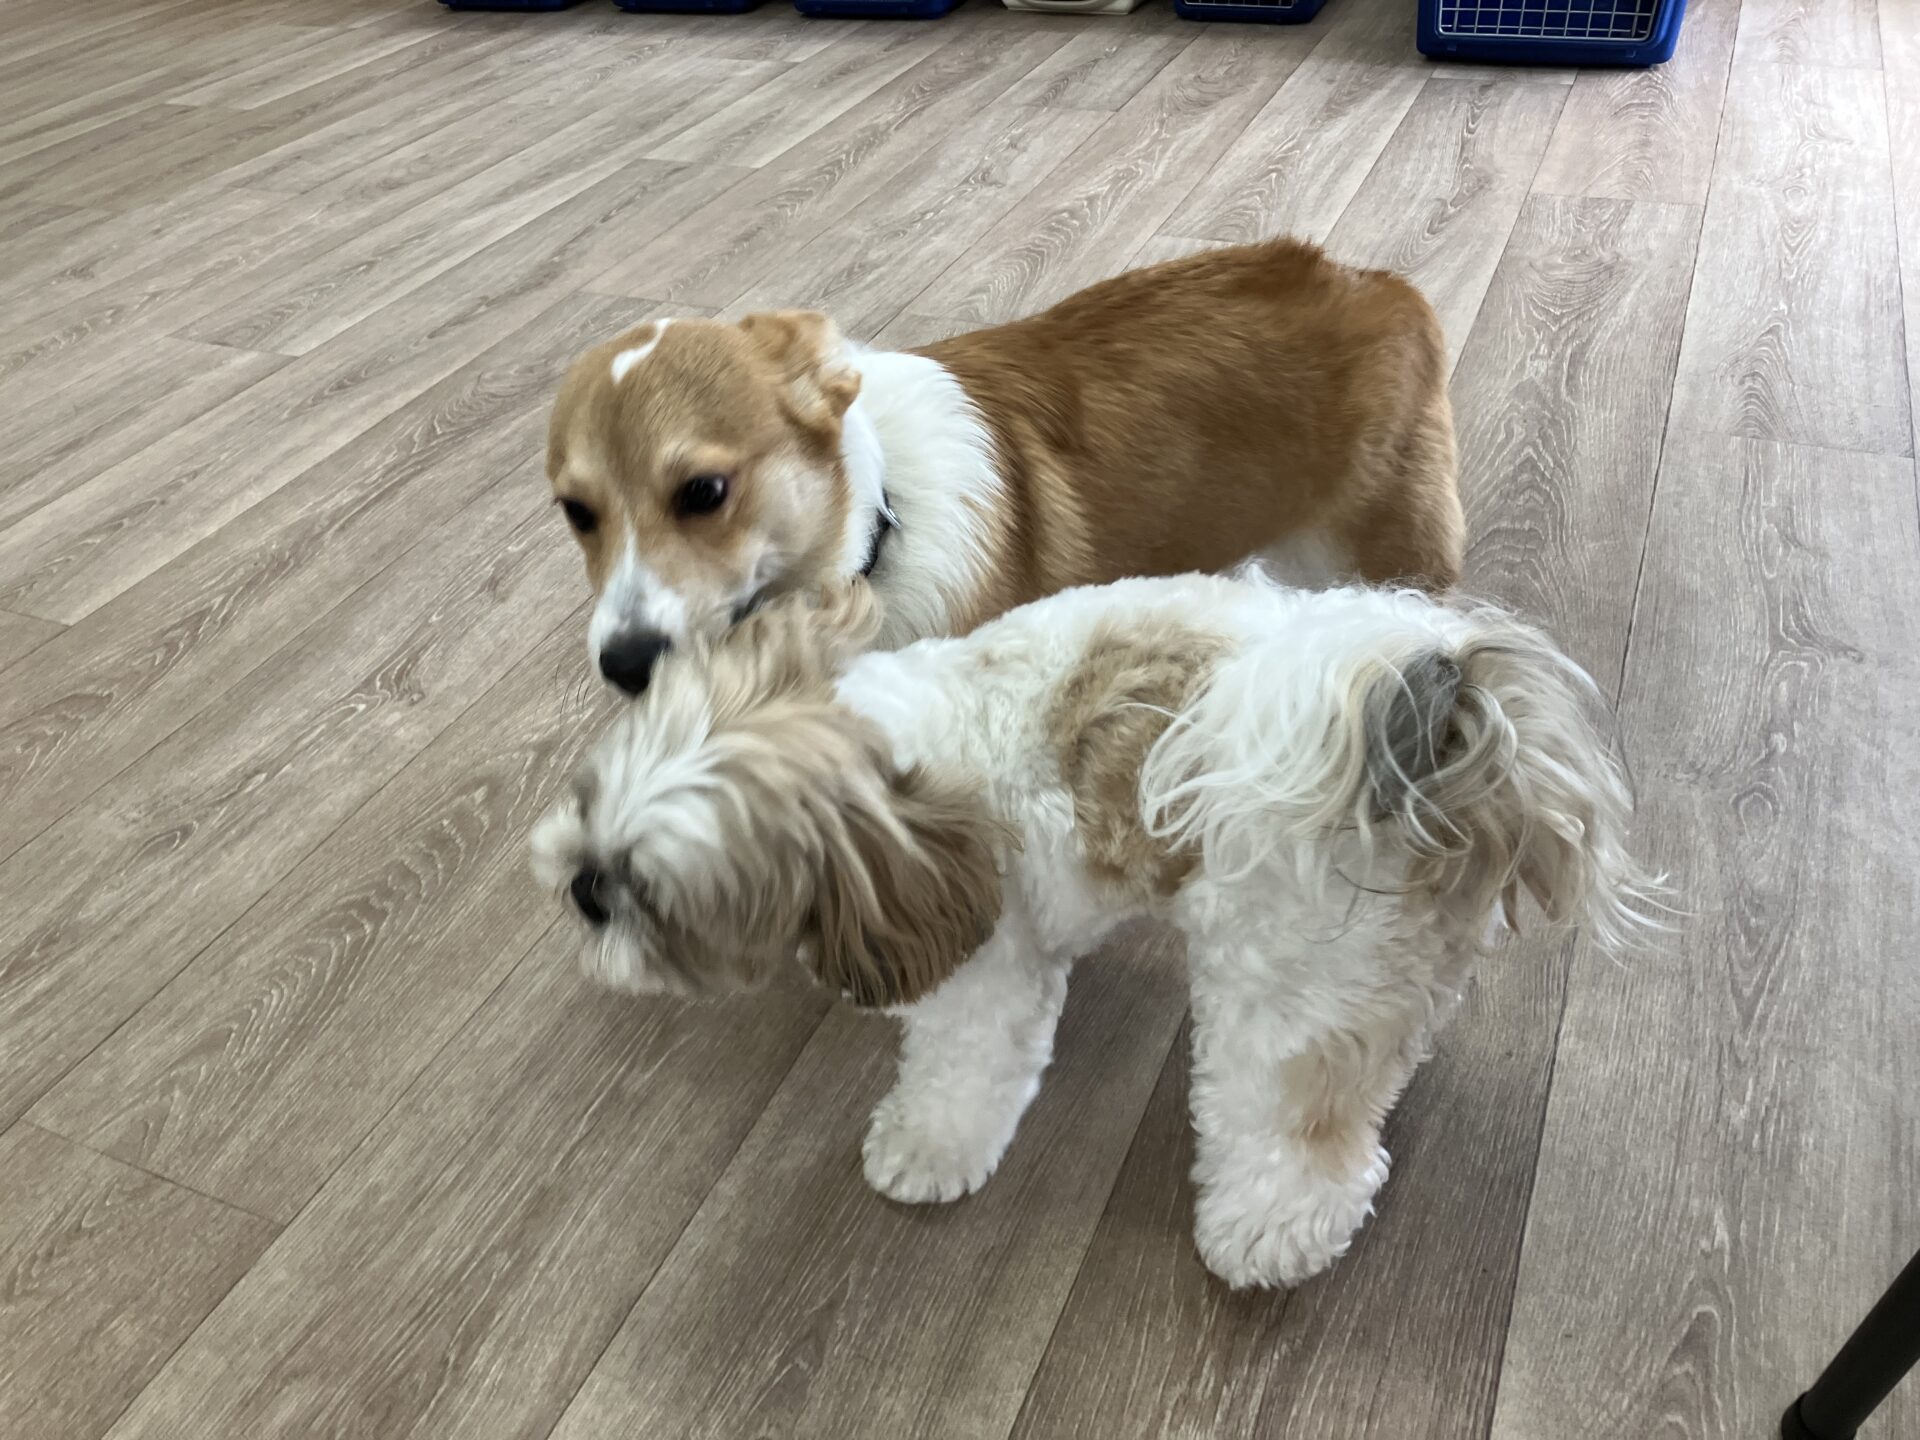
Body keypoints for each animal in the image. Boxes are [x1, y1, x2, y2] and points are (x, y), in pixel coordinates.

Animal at [529, 573, 1659, 1288]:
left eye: (653, 896)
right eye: (586, 800)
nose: (580, 886)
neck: (897, 778)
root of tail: (1437, 728)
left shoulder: (989, 964)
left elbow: (962, 1071)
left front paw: (924, 1147)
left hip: (1288, 986)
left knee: (1301, 1138)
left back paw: (1266, 1233)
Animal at [546, 237, 1462, 695]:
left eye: (704, 492)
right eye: (575, 513)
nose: (624, 669)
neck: (877, 536)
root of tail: (1383, 286)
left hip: (1392, 561)